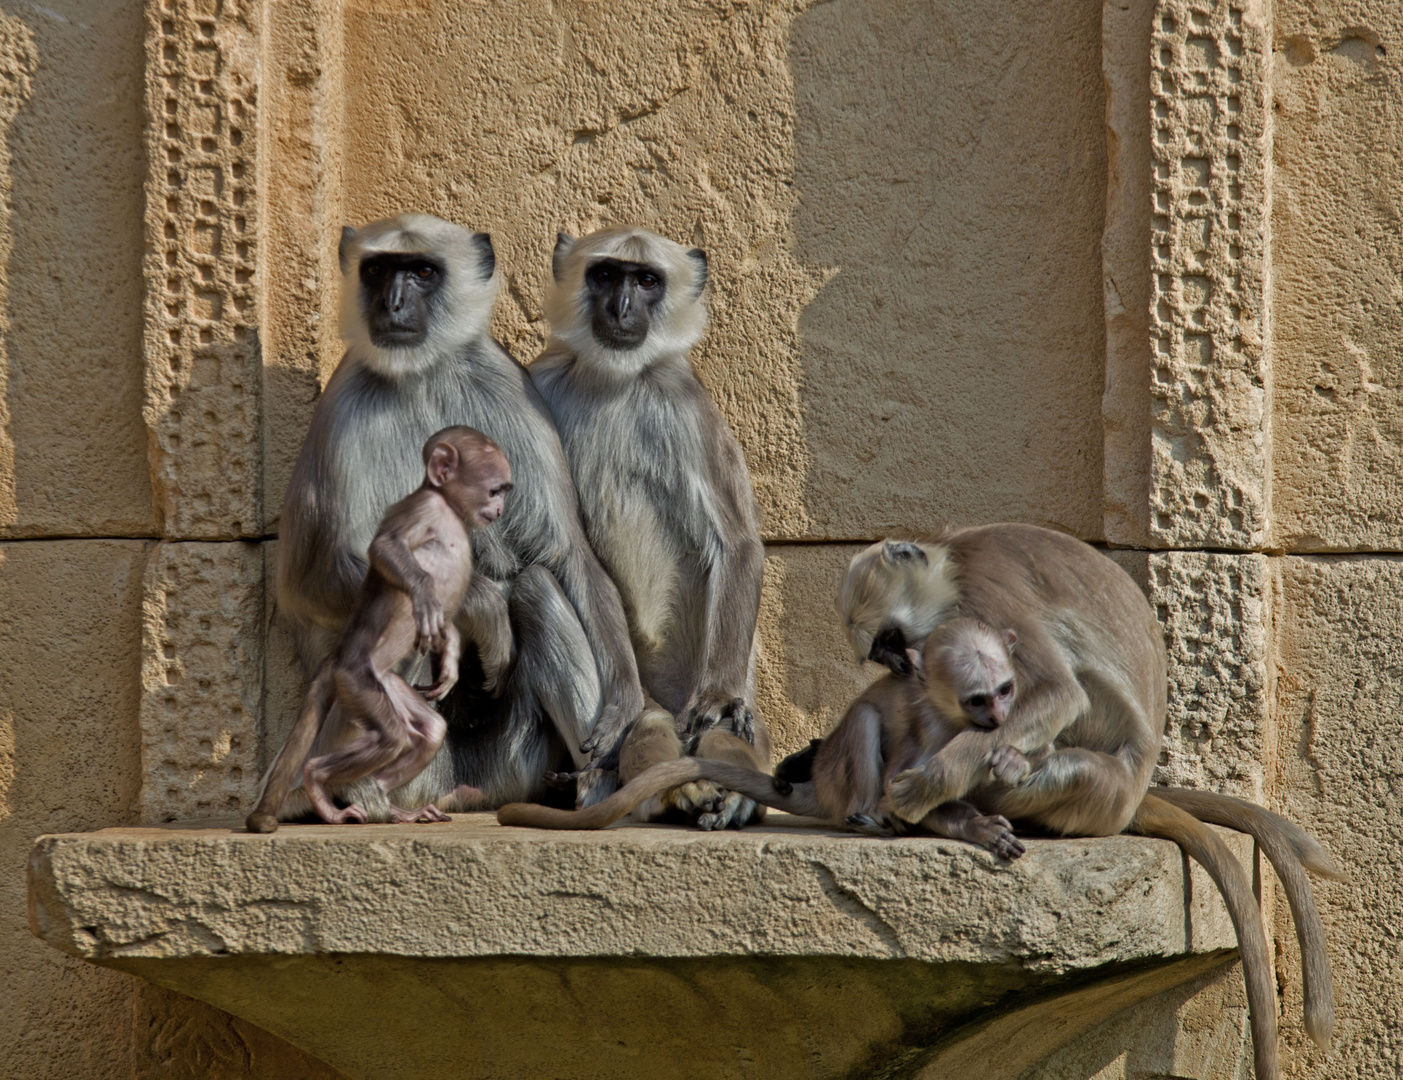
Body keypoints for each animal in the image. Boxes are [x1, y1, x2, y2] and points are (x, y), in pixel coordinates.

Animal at [248, 426, 516, 830]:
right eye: (494, 490)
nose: (499, 510)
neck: (449, 509)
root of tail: (339, 657)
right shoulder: (422, 509)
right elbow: (385, 547)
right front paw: (423, 592)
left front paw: (450, 662)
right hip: (358, 682)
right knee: (391, 738)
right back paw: (319, 782)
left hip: (388, 684)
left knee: (428, 732)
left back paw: (389, 803)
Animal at [270, 213, 642, 819]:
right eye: (377, 271)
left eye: (422, 271)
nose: (392, 303)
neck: (421, 372)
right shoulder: (344, 404)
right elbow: (314, 582)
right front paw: (482, 605)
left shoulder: (503, 379)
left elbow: (563, 550)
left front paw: (626, 704)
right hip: (412, 761)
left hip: (512, 759)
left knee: (536, 586)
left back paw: (598, 794)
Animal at [836, 524, 1341, 1077]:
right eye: (885, 653)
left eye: (892, 641)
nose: (904, 668)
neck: (953, 563)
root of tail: (1134, 795)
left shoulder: (986, 595)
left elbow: (1059, 692)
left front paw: (925, 787)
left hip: (1095, 788)